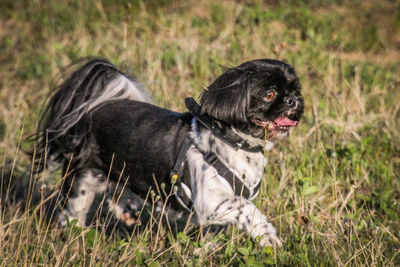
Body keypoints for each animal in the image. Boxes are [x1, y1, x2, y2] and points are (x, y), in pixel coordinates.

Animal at [32, 58, 304, 247]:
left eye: (296, 90)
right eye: (269, 94)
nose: (293, 100)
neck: (233, 142)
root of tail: (93, 108)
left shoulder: (216, 214)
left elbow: (215, 235)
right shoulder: (210, 200)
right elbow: (247, 208)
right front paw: (267, 235)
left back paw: (127, 210)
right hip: (81, 183)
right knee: (71, 216)